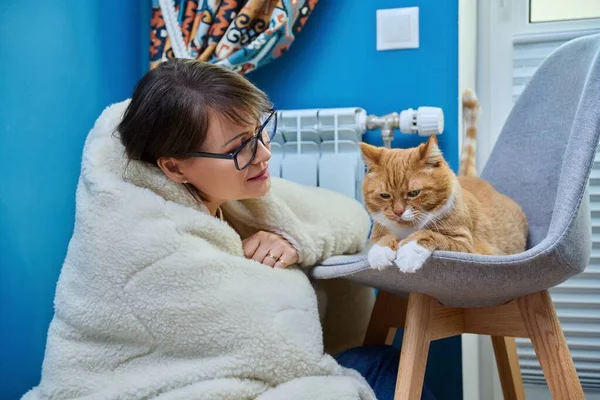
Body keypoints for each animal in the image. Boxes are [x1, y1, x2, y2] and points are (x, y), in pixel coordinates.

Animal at [360, 90, 524, 272]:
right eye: (385, 195)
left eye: (414, 193)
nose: (398, 212)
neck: (406, 230)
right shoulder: (376, 235)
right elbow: (383, 239)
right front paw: (380, 252)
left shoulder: (465, 243)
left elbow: (430, 234)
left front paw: (409, 252)